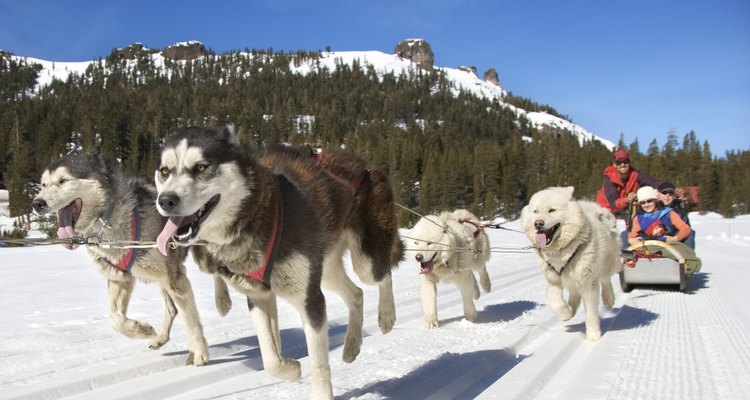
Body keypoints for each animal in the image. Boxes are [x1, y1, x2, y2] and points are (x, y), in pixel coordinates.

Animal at [31, 153, 214, 366]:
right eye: (43, 184)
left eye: (63, 180)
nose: (37, 203)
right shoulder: (120, 278)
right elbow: (114, 319)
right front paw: (140, 329)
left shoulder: (175, 277)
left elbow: (191, 320)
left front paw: (200, 353)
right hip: (159, 280)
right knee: (171, 309)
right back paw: (160, 338)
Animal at [153, 124, 408, 396]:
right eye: (165, 171)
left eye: (201, 167)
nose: (166, 200)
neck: (255, 215)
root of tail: (364, 166)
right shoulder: (259, 296)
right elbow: (270, 359)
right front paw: (292, 368)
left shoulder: (309, 299)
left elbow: (318, 364)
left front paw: (320, 392)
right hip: (325, 272)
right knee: (356, 294)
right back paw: (351, 345)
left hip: (365, 261)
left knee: (382, 274)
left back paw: (387, 315)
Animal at [524, 186, 624, 340]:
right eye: (535, 211)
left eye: (552, 210)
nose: (538, 223)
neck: (560, 252)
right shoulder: (554, 280)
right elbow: (557, 304)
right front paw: (566, 313)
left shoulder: (588, 283)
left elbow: (590, 313)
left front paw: (593, 335)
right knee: (574, 294)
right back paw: (571, 308)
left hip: (607, 262)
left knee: (605, 278)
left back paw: (608, 298)